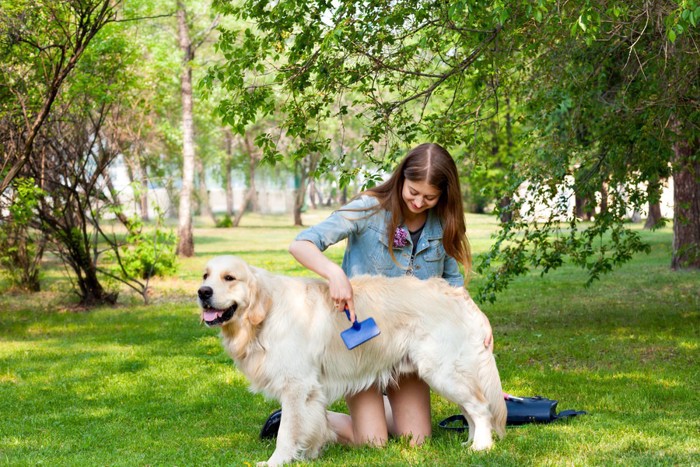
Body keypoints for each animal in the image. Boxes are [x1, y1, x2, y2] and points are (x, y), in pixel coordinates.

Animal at [197, 258, 504, 466]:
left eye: (229, 277)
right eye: (205, 275)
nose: (202, 292)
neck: (266, 314)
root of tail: (460, 296)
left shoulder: (296, 386)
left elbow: (287, 431)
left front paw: (276, 461)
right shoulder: (311, 390)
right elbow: (313, 424)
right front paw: (308, 455)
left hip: (441, 370)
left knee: (480, 407)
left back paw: (481, 447)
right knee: (472, 410)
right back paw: (470, 442)